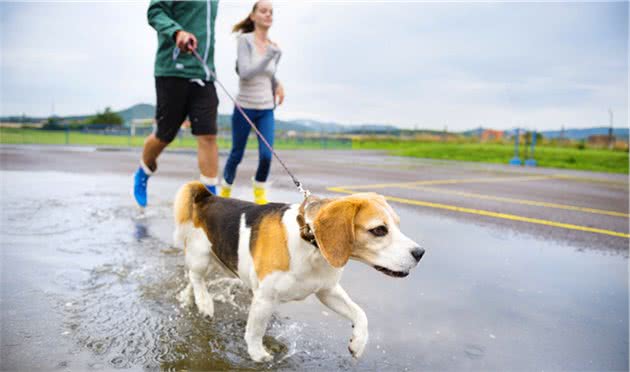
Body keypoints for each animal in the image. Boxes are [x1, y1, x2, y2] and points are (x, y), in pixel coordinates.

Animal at [173, 182, 424, 362]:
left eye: (397, 225)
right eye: (379, 230)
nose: (420, 252)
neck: (310, 242)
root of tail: (207, 197)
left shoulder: (327, 291)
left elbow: (360, 313)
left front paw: (358, 342)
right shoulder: (264, 298)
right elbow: (255, 331)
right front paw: (258, 355)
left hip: (219, 262)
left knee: (193, 280)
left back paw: (189, 298)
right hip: (201, 256)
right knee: (196, 277)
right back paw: (204, 302)